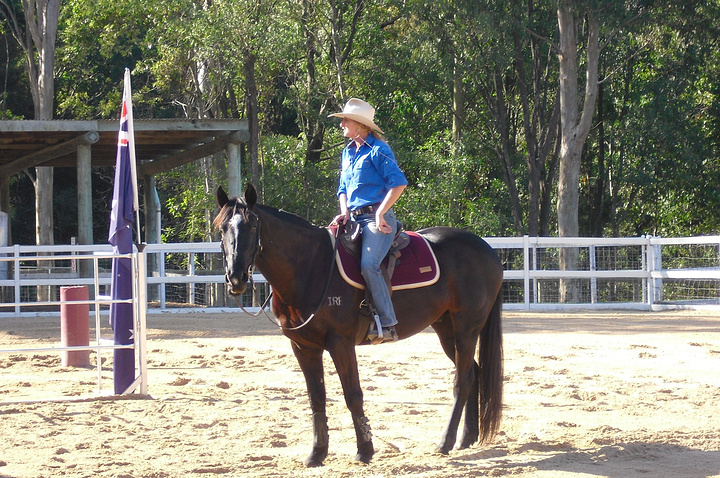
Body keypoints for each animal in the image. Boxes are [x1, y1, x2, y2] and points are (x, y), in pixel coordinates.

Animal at [215, 186, 500, 466]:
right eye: (222, 228)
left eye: (252, 226)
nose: (236, 278)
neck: (311, 266)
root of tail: (486, 249)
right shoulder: (303, 346)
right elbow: (316, 396)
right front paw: (317, 453)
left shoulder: (341, 343)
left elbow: (353, 394)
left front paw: (365, 449)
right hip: (446, 328)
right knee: (472, 372)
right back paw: (467, 438)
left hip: (466, 328)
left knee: (461, 380)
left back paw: (445, 442)